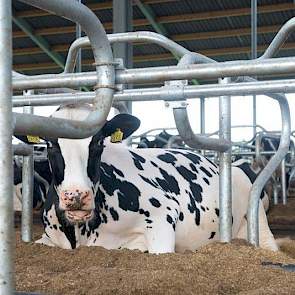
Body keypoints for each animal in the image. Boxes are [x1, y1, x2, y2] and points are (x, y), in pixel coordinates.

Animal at [19, 105, 280, 253]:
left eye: (98, 143)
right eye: (50, 145)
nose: (75, 196)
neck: (81, 233)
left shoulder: (162, 216)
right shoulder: (48, 238)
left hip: (256, 210)